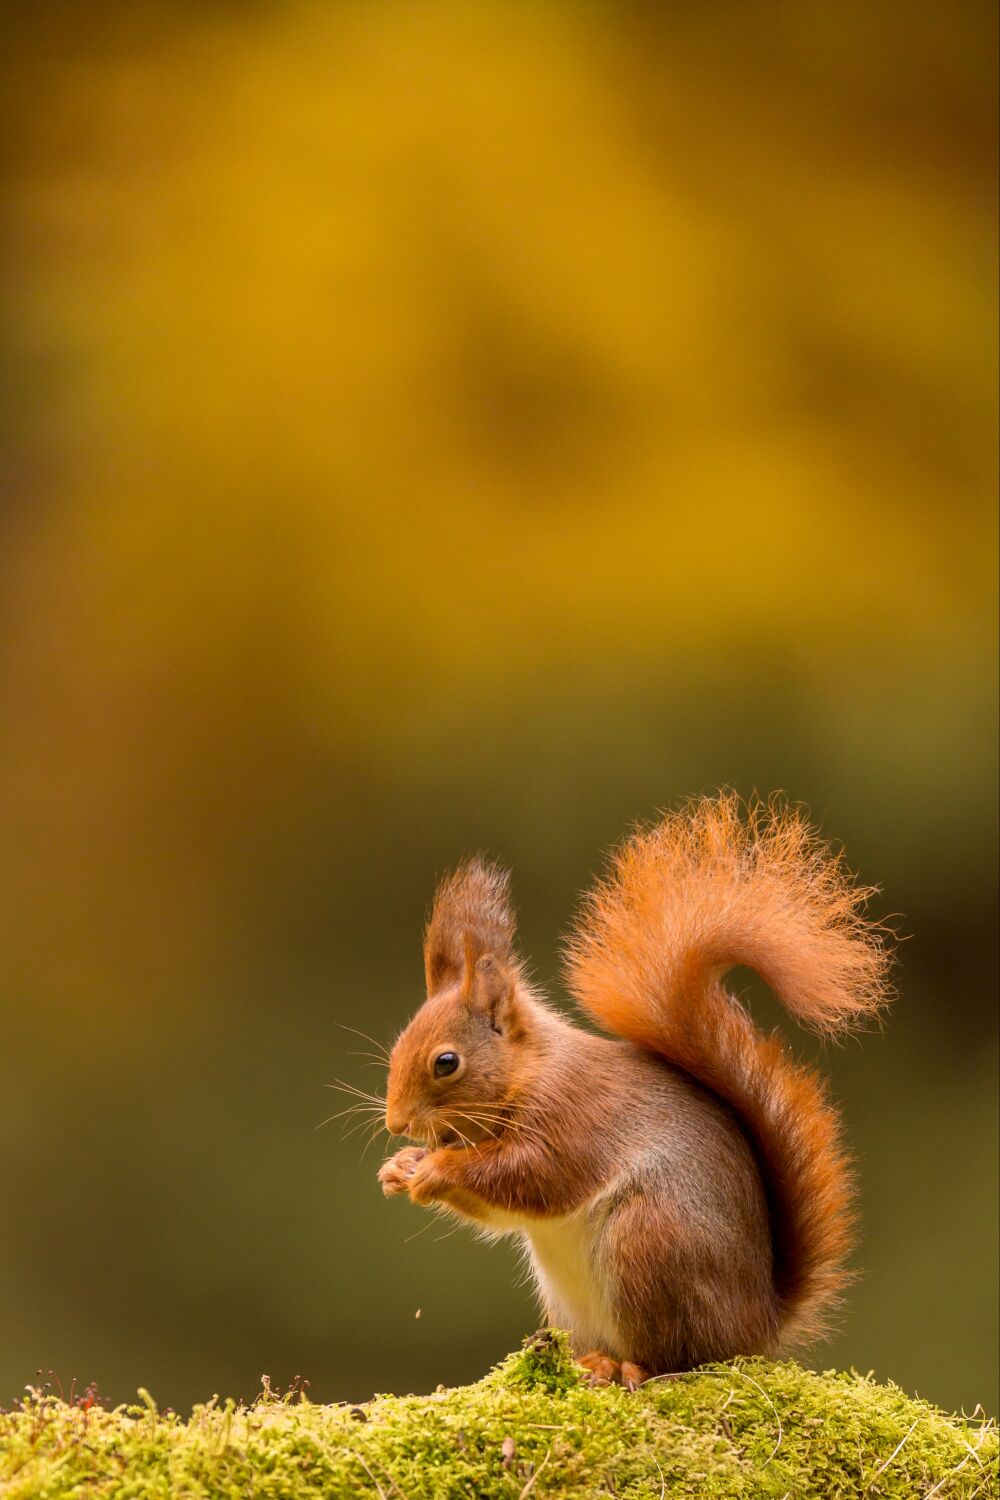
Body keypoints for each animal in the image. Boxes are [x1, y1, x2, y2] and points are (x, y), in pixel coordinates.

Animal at [374, 792, 893, 1386]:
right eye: (398, 1044)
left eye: (447, 1063)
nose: (395, 1123)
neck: (529, 1073)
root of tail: (754, 1326)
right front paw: (399, 1167)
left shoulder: (574, 1118)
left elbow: (531, 1177)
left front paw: (435, 1170)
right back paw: (590, 1361)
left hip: (648, 1246)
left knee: (678, 1357)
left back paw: (630, 1366)